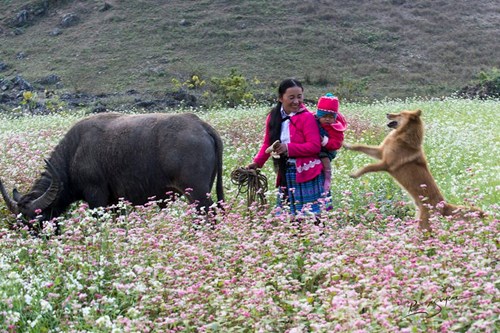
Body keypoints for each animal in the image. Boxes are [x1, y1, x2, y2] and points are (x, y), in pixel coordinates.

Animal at [0, 113, 223, 227]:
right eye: (20, 224)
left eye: (36, 221)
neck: (74, 151)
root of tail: (201, 125)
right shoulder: (116, 202)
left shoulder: (96, 197)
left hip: (197, 194)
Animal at [346, 109, 482, 231]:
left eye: (399, 114)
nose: (387, 113)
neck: (402, 136)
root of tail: (443, 206)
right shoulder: (380, 153)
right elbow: (360, 147)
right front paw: (347, 145)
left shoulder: (386, 164)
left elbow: (367, 167)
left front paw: (355, 174)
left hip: (423, 227)